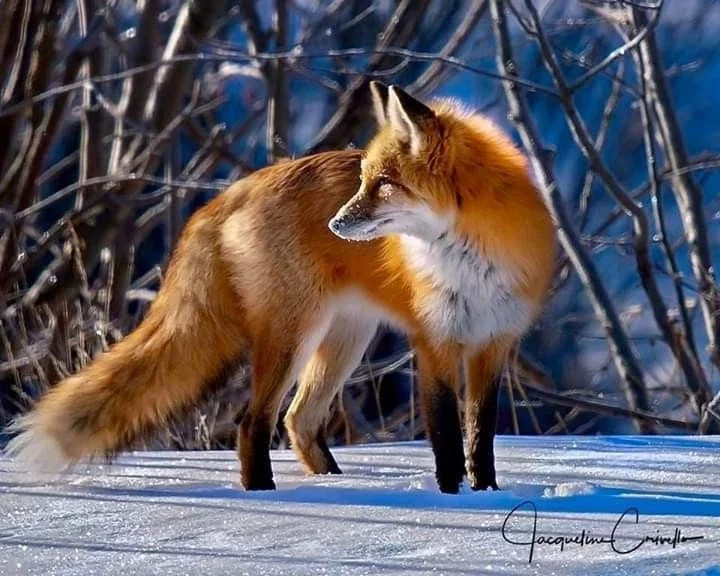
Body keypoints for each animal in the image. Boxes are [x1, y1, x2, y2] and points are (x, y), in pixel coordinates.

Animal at [5, 82, 555, 494]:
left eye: (383, 185)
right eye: (364, 180)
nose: (336, 224)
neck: (468, 260)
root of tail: (231, 192)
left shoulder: (493, 341)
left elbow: (479, 435)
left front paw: (486, 494)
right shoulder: (434, 340)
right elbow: (445, 435)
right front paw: (450, 498)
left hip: (345, 339)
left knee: (298, 420)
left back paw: (333, 486)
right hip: (294, 334)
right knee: (255, 421)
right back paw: (265, 493)